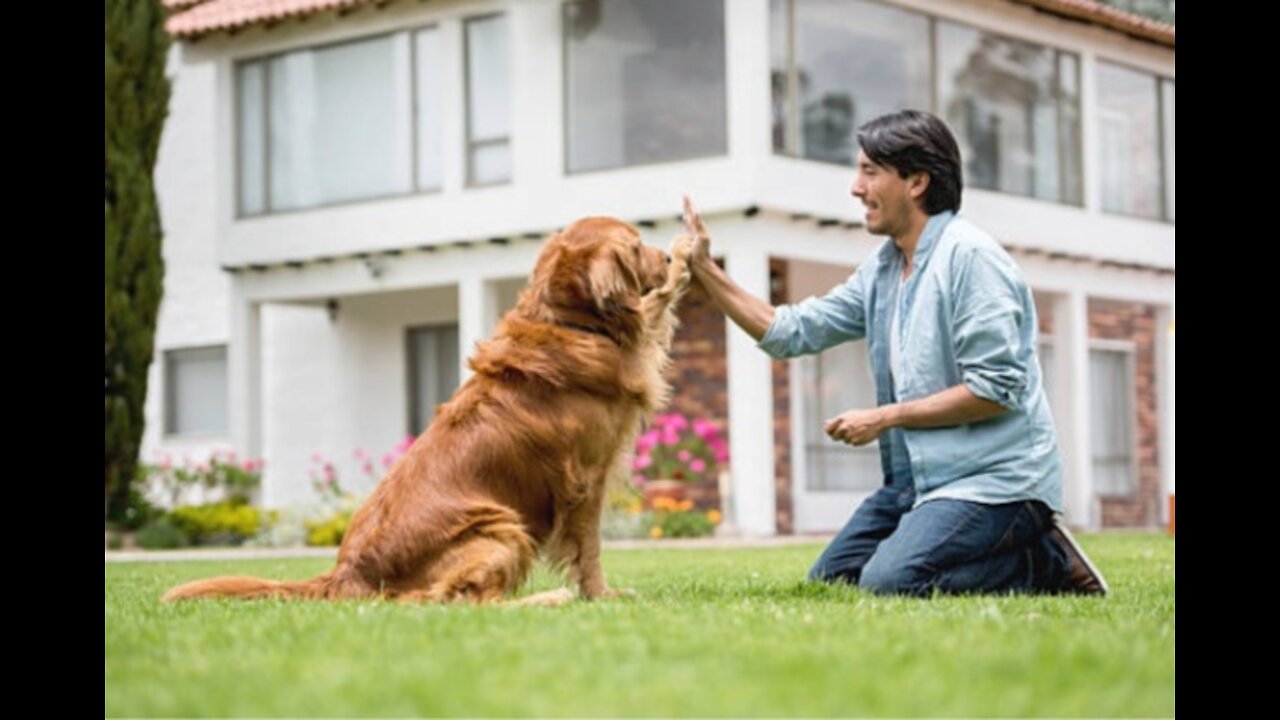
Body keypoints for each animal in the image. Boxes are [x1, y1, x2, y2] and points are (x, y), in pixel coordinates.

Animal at [167, 219, 701, 604]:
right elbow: (588, 550)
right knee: (455, 601)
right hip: (500, 528)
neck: (567, 323)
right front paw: (601, 595)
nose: (664, 255)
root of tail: (346, 573)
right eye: (635, 245)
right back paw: (548, 600)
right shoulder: (585, 479)